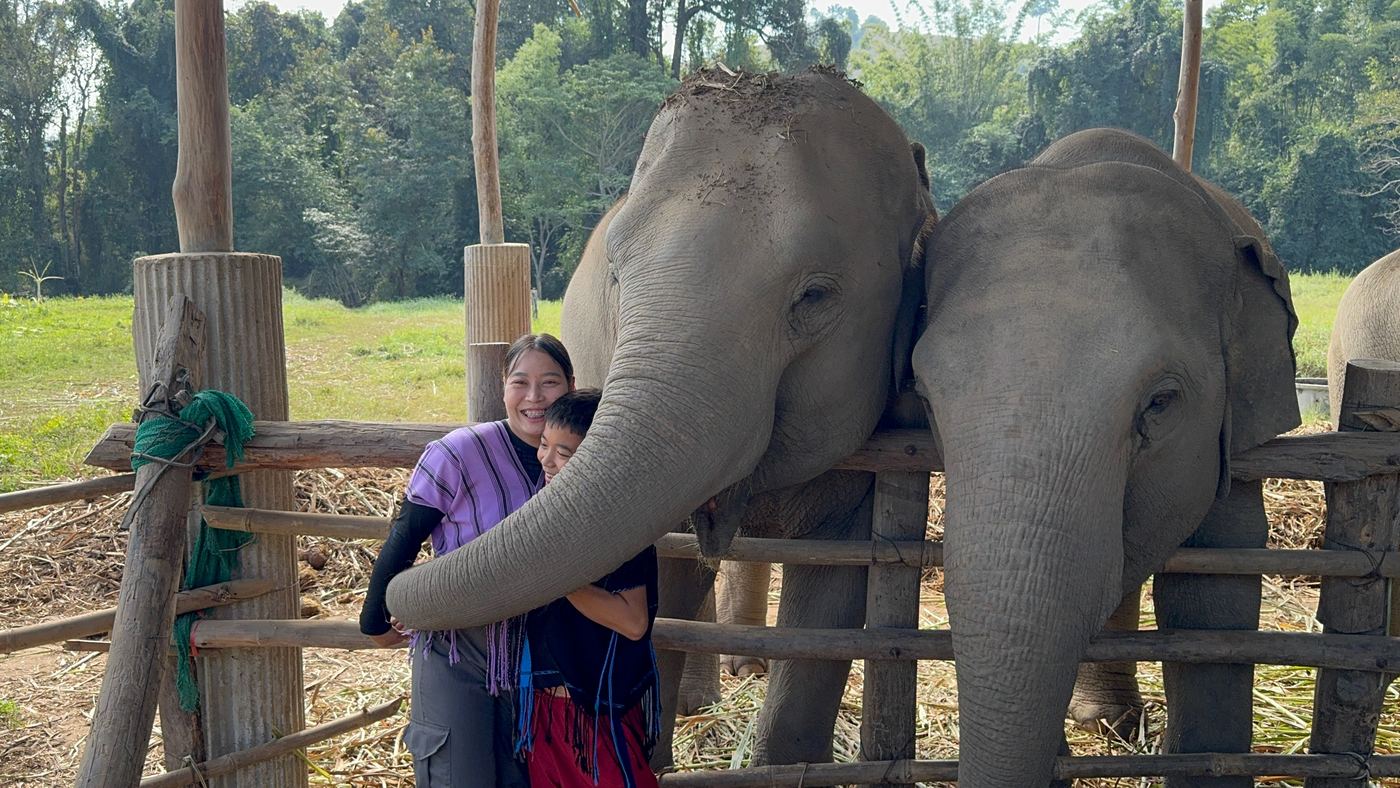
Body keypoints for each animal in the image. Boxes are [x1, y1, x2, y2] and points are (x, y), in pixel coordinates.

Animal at [386, 67, 939, 768]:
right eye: (617, 279)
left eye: (815, 296)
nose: (391, 597)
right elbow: (660, 583)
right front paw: (650, 750)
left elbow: (832, 594)